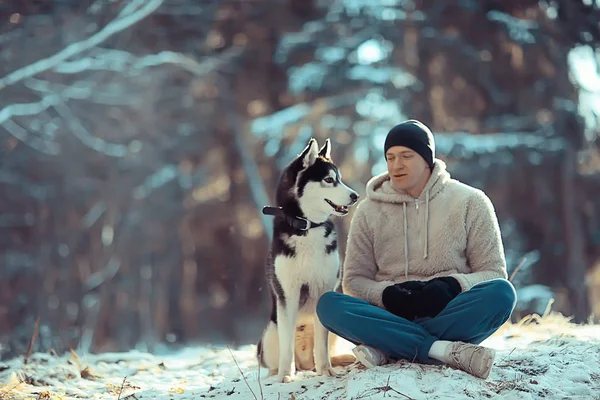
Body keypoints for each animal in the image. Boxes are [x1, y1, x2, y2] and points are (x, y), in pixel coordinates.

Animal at [256, 139, 358, 382]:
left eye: (340, 178)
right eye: (329, 180)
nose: (355, 196)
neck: (307, 227)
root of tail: (304, 363)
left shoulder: (324, 289)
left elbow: (321, 344)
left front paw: (326, 370)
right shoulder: (287, 293)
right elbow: (286, 345)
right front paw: (285, 376)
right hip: (269, 333)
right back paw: (277, 373)